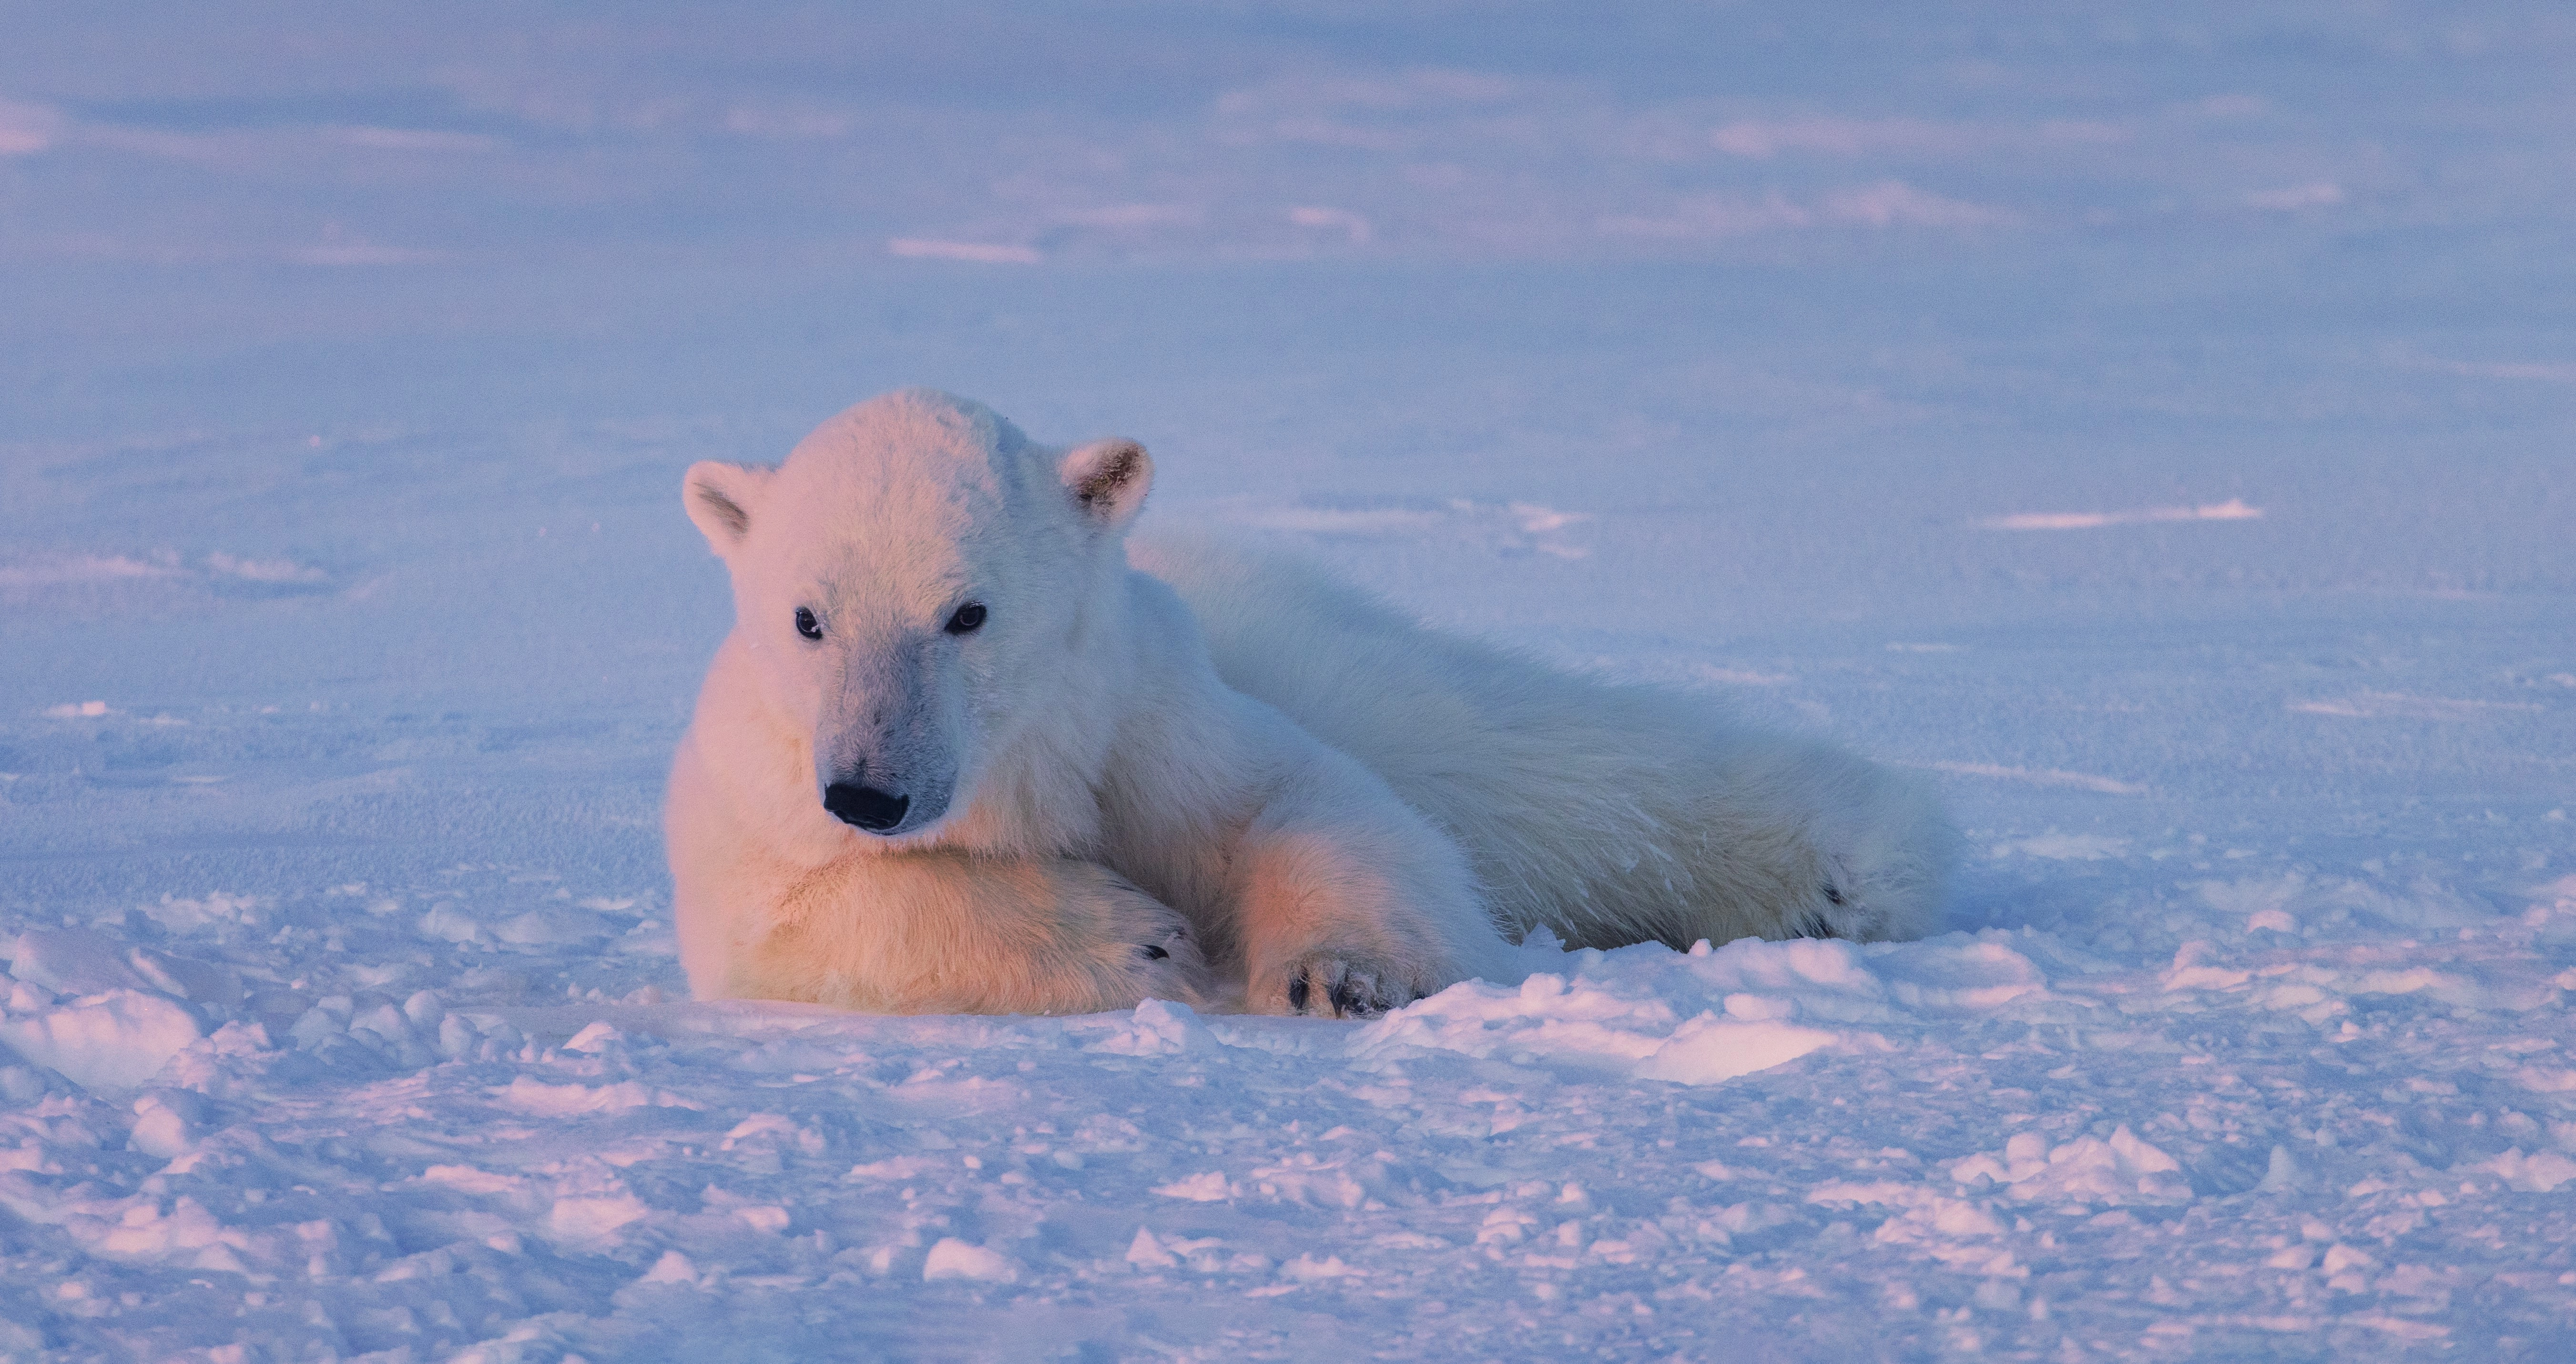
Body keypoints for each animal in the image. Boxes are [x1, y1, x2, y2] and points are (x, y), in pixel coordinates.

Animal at [670, 388, 1947, 1014]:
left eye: (966, 613)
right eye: (809, 618)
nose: (868, 793)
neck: (1009, 775)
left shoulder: (1143, 720)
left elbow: (1294, 800)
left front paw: (1341, 975)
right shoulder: (760, 788)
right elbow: (802, 912)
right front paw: (1135, 940)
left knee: (1504, 759)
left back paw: (1847, 872)